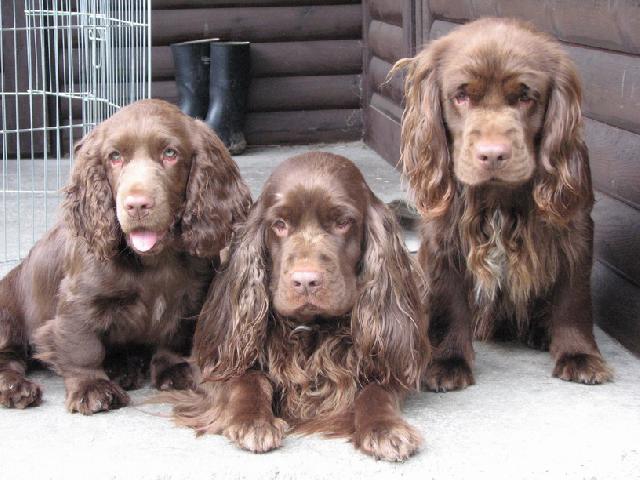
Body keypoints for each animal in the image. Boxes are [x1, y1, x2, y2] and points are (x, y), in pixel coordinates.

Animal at [0, 99, 252, 414]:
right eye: (115, 157)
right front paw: (92, 387)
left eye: (170, 153)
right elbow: (83, 347)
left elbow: (175, 337)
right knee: (8, 357)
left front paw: (174, 369)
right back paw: (15, 387)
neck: (155, 260)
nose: (136, 205)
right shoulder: (79, 302)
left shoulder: (192, 298)